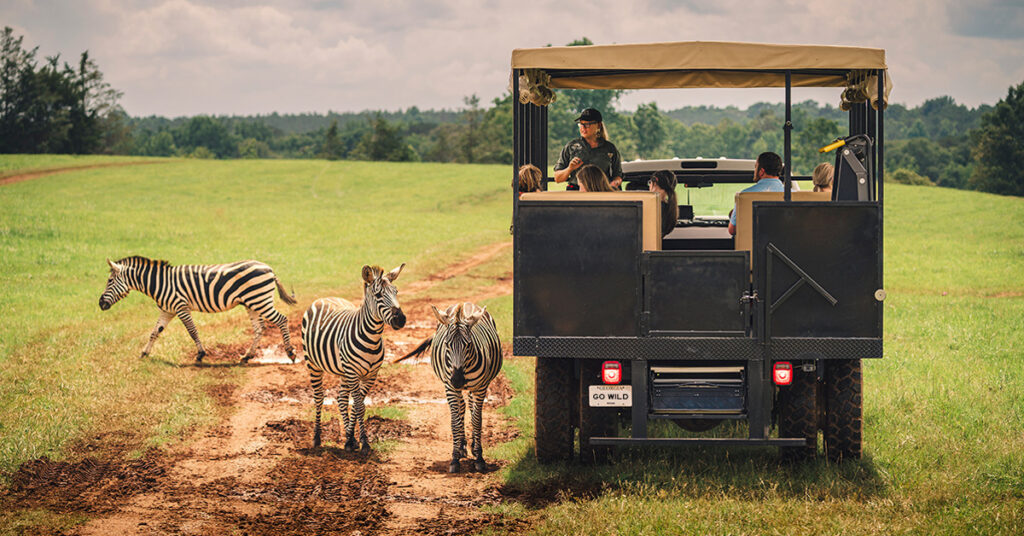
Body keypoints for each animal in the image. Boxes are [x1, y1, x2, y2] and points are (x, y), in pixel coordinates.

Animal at [98, 256, 297, 363]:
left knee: (282, 320)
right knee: (259, 329)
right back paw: (247, 356)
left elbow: (192, 331)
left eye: (109, 281)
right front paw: (144, 353)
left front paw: (200, 354)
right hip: (253, 303)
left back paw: (290, 352)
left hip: (260, 300)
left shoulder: (181, 307)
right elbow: (155, 332)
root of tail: (269, 268)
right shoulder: (167, 310)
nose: (100, 304)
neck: (160, 283)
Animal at [301, 263, 406, 451]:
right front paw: (364, 442)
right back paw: (316, 438)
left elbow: (359, 405)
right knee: (319, 397)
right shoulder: (353, 373)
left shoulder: (371, 375)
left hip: (343, 372)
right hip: (313, 365)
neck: (372, 340)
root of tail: (324, 298)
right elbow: (359, 406)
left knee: (341, 399)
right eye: (378, 295)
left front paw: (351, 439)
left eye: (396, 291)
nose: (401, 320)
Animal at [397, 302, 503, 473]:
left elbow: (477, 420)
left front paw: (479, 458)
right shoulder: (450, 387)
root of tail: (466, 304)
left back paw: (471, 446)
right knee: (462, 406)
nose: (458, 380)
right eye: (447, 344)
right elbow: (455, 421)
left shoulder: (480, 387)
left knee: (470, 407)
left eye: (469, 345)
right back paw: (461, 447)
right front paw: (455, 458)